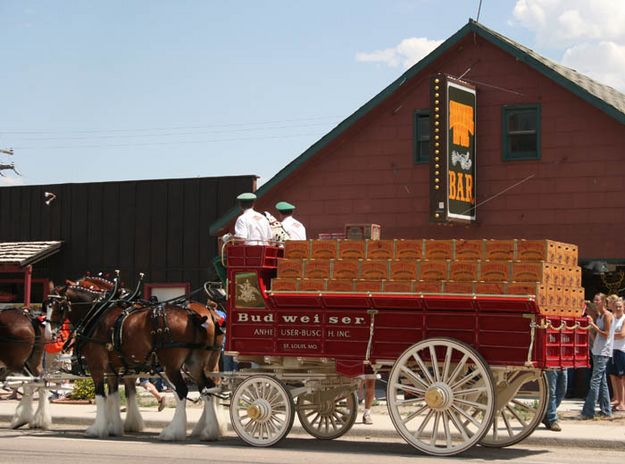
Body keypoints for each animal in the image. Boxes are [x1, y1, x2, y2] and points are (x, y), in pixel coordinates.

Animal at [47, 278, 227, 440]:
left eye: (57, 307)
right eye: (46, 305)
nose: (50, 333)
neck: (99, 313)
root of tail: (196, 315)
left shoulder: (96, 364)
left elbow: (101, 395)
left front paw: (98, 429)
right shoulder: (114, 369)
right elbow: (116, 395)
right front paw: (116, 427)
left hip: (172, 365)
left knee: (183, 391)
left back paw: (173, 432)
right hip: (196, 362)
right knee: (207, 389)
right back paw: (209, 431)